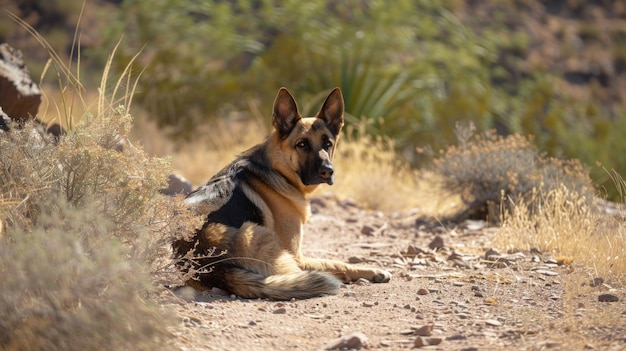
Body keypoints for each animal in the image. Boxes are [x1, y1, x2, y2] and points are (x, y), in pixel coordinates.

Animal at [171, 88, 390, 300]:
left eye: (327, 144)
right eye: (302, 144)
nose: (328, 171)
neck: (278, 169)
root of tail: (211, 267)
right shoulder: (297, 256)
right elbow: (336, 263)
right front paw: (373, 270)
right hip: (264, 240)